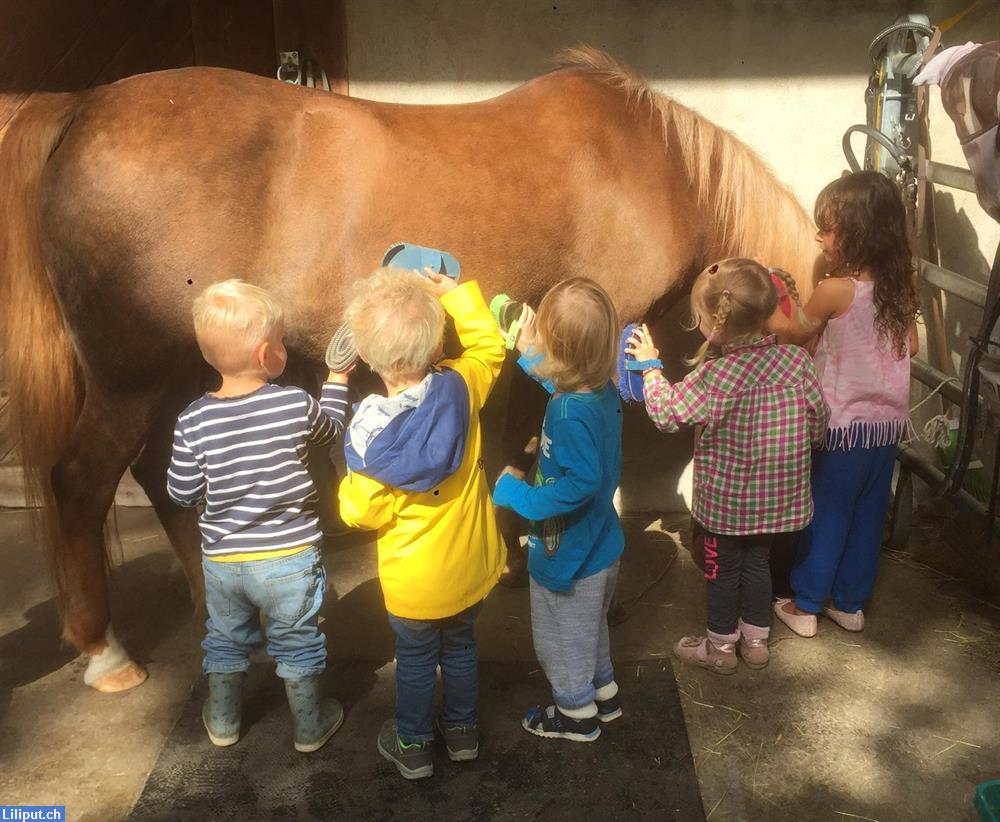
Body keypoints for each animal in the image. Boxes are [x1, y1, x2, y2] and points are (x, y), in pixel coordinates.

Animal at [0, 43, 812, 688]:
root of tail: (83, 106)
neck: (655, 163)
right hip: (131, 380)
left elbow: (522, 442)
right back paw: (106, 652)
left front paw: (513, 552)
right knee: (81, 484)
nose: (790, 579)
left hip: (173, 376)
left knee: (161, 479)